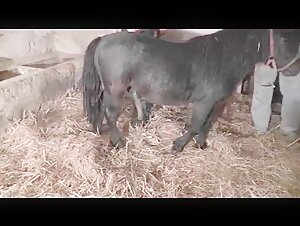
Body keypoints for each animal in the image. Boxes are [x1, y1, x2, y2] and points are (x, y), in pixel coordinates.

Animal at [82, 29, 300, 153]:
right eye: (284, 39)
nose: (295, 70)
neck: (222, 58)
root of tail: (103, 40)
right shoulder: (204, 102)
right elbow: (195, 125)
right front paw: (178, 146)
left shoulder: (218, 102)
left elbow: (208, 123)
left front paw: (201, 144)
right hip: (116, 89)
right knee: (111, 113)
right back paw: (118, 142)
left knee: (100, 107)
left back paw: (99, 130)